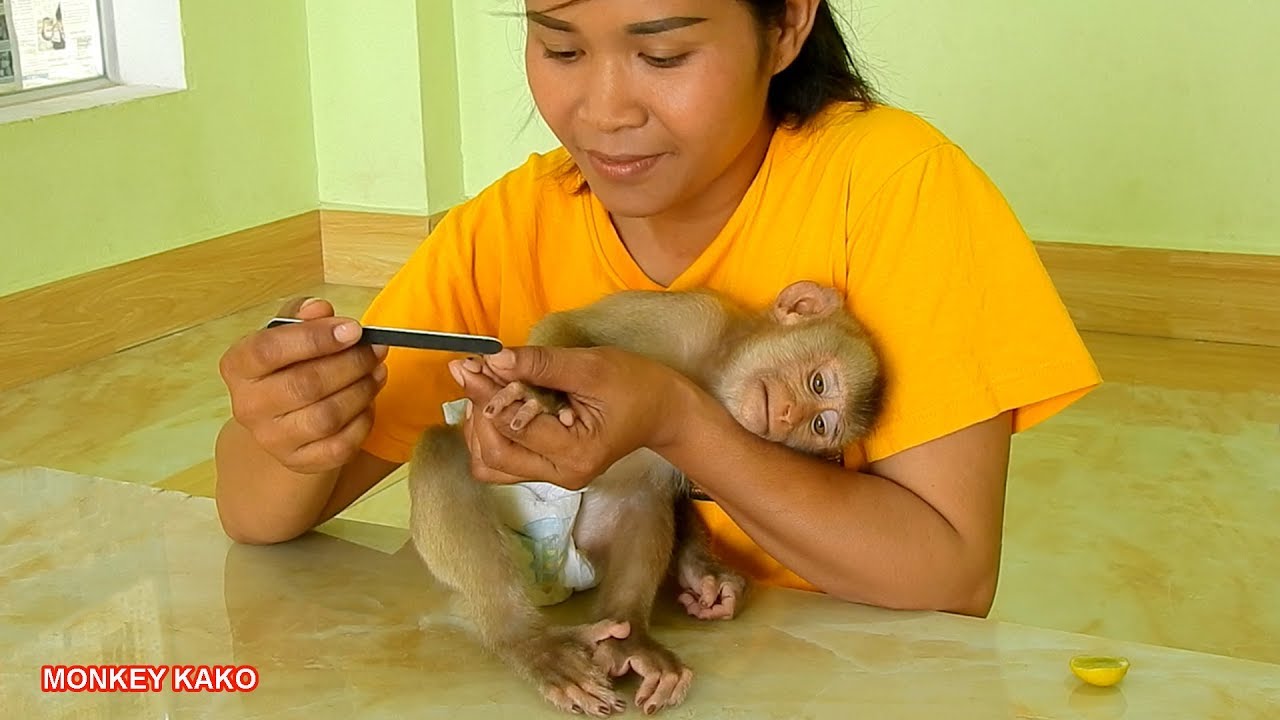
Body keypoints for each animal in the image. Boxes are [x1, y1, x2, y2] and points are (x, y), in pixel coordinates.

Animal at [407, 280, 884, 717]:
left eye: (819, 427)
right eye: (818, 382)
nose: (787, 418)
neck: (710, 378)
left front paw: (706, 574)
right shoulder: (692, 317)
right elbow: (570, 325)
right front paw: (540, 393)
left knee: (641, 498)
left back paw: (630, 638)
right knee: (441, 450)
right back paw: (525, 639)